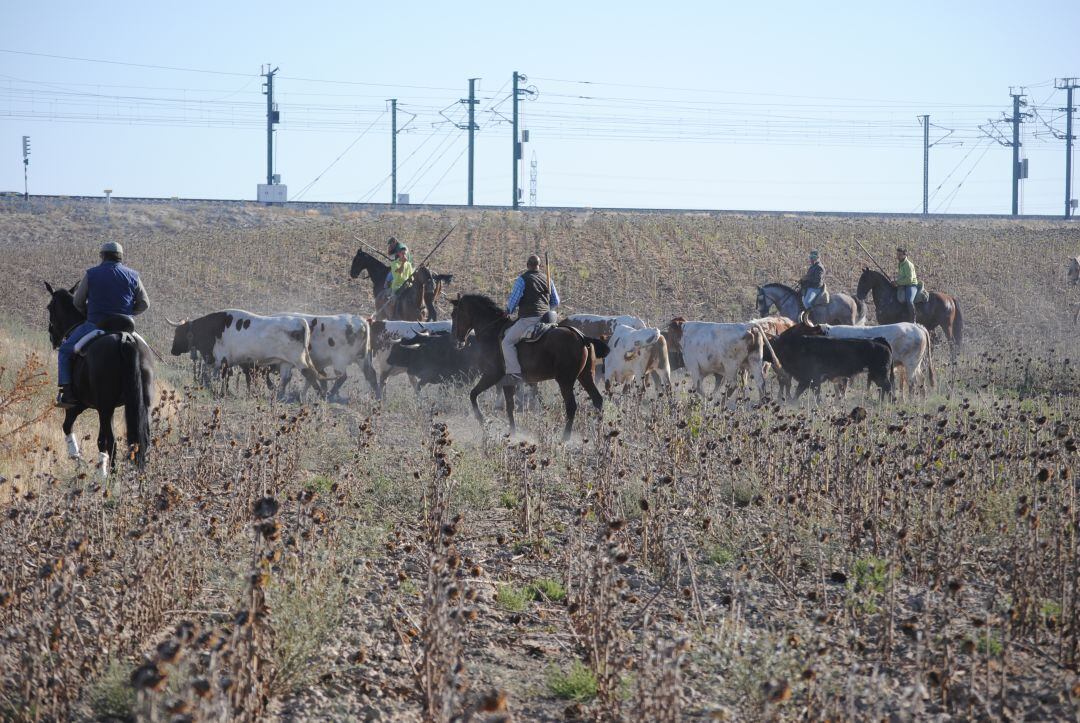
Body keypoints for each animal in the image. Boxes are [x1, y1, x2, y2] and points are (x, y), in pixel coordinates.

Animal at [44, 280, 152, 479]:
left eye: (50, 307)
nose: (52, 337)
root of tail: (124, 338)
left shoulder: (78, 405)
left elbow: (67, 427)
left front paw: (78, 460)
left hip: (105, 408)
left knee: (111, 441)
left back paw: (109, 479)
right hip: (138, 406)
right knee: (141, 441)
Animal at [165, 306, 319, 397]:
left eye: (178, 332)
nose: (173, 350)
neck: (212, 329)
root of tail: (299, 321)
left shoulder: (223, 361)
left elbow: (222, 377)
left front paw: (222, 393)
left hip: (299, 360)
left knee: (311, 374)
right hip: (286, 362)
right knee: (286, 378)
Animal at [447, 293, 609, 440]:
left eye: (454, 314)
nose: (455, 341)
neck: (493, 332)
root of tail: (582, 337)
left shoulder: (492, 375)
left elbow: (473, 394)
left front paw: (482, 421)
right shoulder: (508, 381)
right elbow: (510, 406)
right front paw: (512, 433)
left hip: (565, 381)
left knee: (571, 406)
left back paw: (565, 438)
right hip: (586, 376)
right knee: (597, 401)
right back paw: (599, 434)